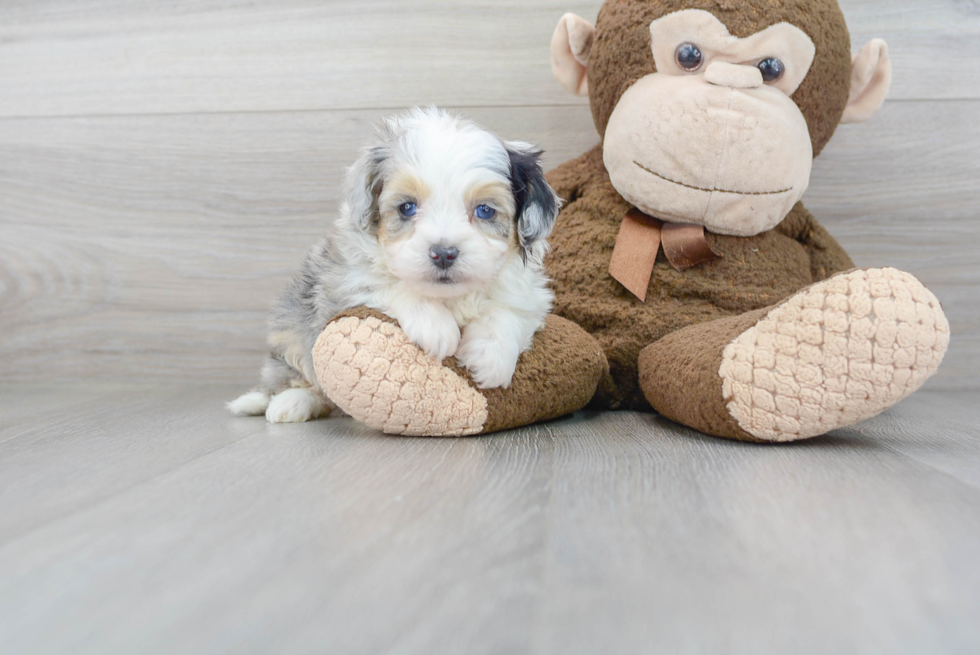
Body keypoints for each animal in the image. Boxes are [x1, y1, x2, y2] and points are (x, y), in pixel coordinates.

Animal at [228, 106, 560, 426]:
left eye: (485, 211)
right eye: (407, 207)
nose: (443, 253)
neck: (449, 297)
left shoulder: (528, 294)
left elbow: (508, 311)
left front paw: (490, 356)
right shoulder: (343, 279)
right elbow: (390, 283)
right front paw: (436, 327)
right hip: (293, 327)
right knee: (302, 378)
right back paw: (288, 402)